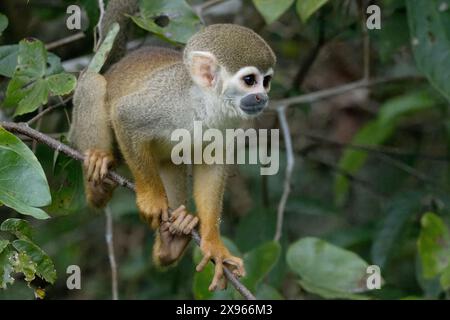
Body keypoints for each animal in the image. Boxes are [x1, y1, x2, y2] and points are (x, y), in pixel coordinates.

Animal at [71, 15, 274, 288]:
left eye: (266, 81)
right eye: (250, 81)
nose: (262, 97)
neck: (205, 104)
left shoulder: (231, 123)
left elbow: (212, 165)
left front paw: (213, 243)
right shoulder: (166, 101)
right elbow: (125, 116)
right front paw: (151, 199)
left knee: (170, 162)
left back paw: (171, 242)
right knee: (93, 82)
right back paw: (98, 181)